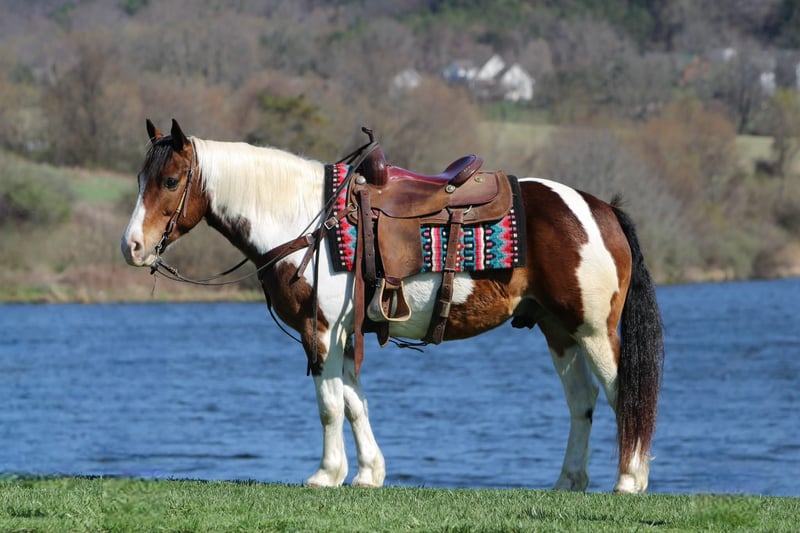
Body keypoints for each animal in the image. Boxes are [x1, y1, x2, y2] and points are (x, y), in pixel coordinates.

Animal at [121, 119, 664, 493]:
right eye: (142, 178)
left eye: (171, 181)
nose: (132, 247)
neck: (309, 222)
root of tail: (602, 208)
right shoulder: (344, 334)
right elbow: (354, 402)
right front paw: (368, 474)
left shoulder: (320, 331)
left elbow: (329, 405)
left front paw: (327, 474)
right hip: (559, 330)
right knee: (582, 402)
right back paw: (569, 482)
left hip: (593, 331)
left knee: (622, 396)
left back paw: (628, 481)